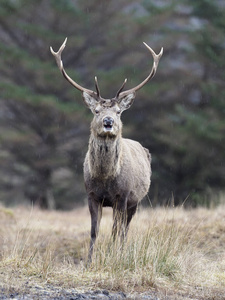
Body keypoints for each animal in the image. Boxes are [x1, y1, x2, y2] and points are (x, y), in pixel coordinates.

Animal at [50, 37, 163, 262]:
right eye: (96, 110)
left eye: (119, 111)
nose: (108, 121)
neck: (105, 178)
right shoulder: (92, 195)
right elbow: (94, 230)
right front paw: (89, 261)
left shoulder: (123, 195)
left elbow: (115, 230)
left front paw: (112, 257)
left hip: (136, 201)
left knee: (125, 229)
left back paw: (122, 253)